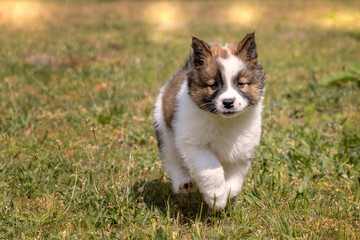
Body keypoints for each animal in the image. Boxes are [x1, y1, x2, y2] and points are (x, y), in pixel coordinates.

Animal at [153, 32, 266, 210]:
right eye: (213, 85)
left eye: (241, 84)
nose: (228, 102)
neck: (224, 121)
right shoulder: (194, 145)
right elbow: (212, 169)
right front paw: (216, 198)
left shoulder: (241, 150)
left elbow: (235, 179)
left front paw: (227, 195)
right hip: (164, 131)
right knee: (172, 161)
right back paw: (184, 183)